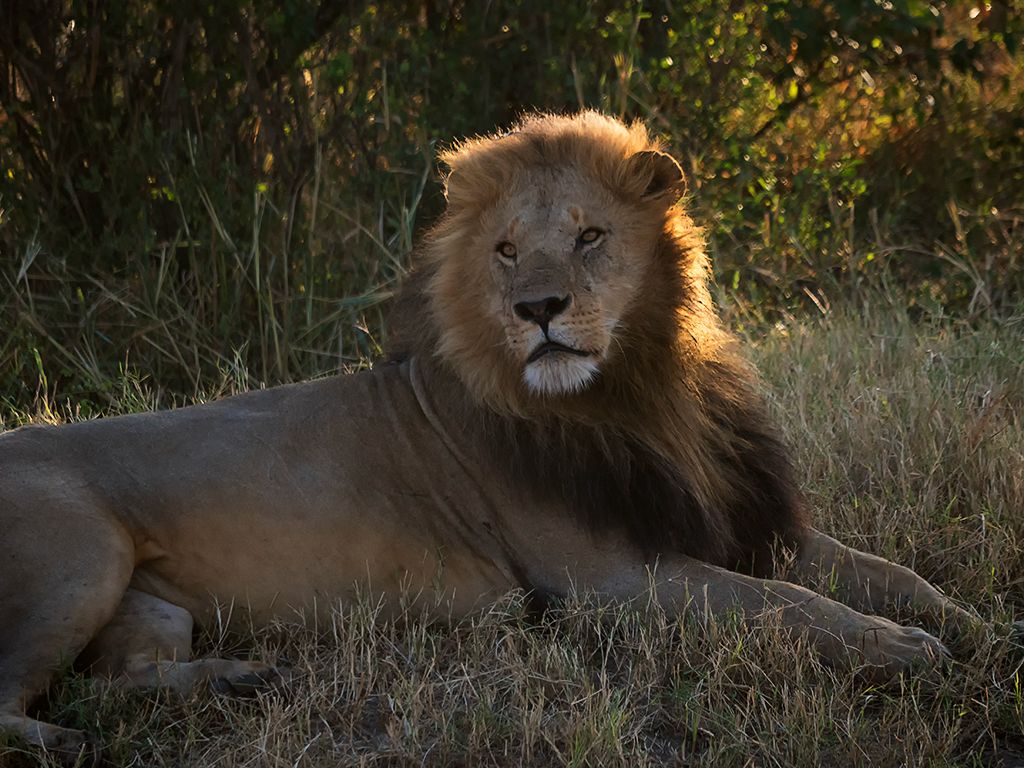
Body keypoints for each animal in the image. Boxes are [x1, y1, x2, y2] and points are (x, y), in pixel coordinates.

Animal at [0, 111, 986, 757]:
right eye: (507, 250)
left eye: (589, 237)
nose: (537, 309)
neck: (642, 395)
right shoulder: (608, 580)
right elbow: (784, 606)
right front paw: (902, 651)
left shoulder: (752, 521)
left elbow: (883, 573)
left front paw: (969, 623)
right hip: (80, 556)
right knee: (17, 696)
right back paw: (62, 743)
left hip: (152, 605)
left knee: (117, 680)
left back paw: (239, 679)